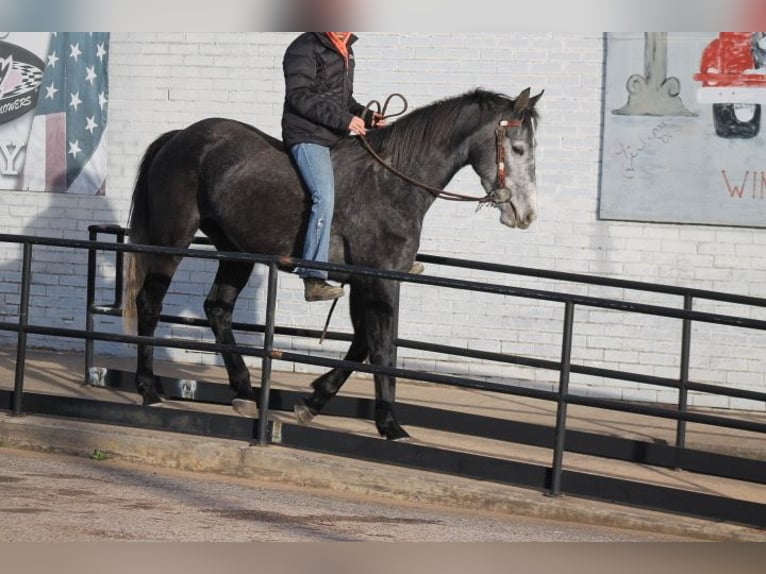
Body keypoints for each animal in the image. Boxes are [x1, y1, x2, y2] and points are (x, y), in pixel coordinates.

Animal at [123, 87, 543, 441]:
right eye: (519, 148)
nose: (527, 214)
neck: (392, 181)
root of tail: (180, 136)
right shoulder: (379, 280)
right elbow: (381, 346)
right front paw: (390, 425)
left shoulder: (367, 280)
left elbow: (364, 341)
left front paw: (314, 401)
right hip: (171, 241)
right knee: (150, 304)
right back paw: (148, 388)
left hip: (237, 252)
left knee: (218, 309)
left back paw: (244, 391)